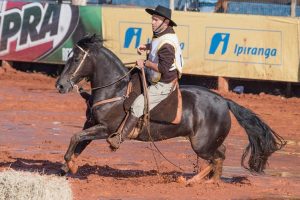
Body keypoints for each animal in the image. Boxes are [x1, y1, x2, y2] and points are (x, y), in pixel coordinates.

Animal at [55, 34, 286, 184]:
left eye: (76, 59)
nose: (60, 85)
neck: (115, 89)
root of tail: (224, 101)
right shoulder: (92, 124)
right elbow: (79, 143)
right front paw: (67, 167)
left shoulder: (106, 129)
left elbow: (75, 137)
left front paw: (71, 166)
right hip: (206, 143)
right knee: (220, 155)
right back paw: (208, 181)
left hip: (201, 144)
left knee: (218, 157)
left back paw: (194, 181)